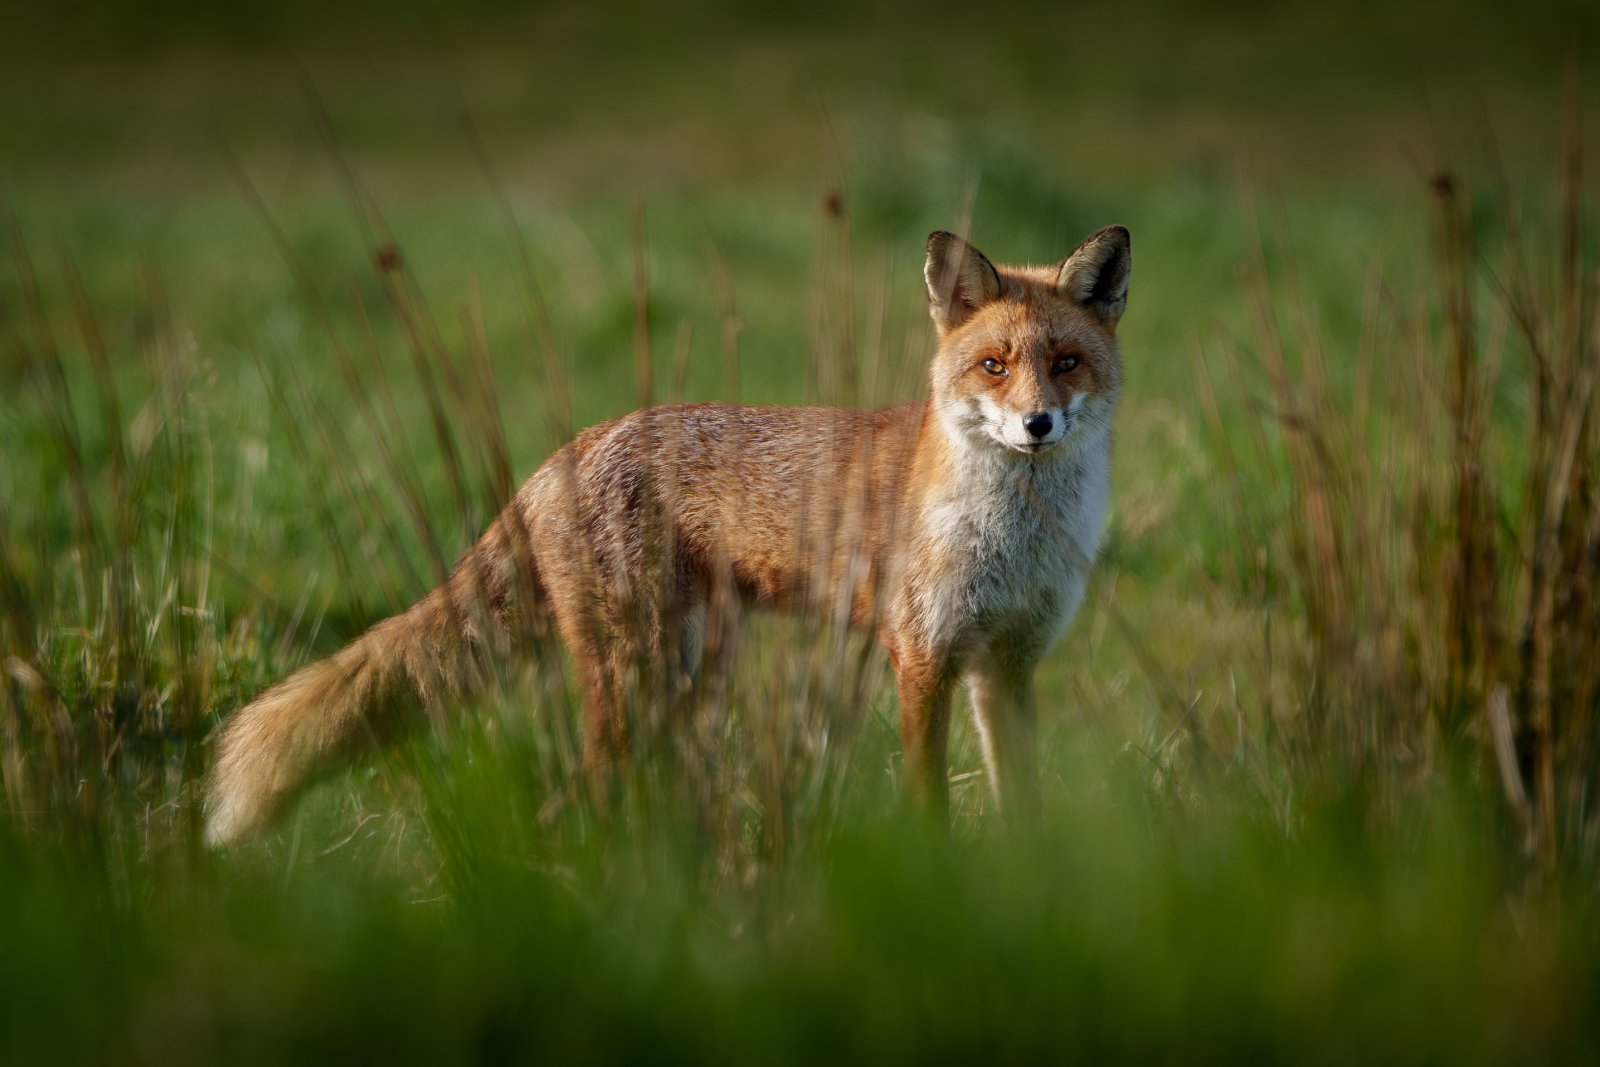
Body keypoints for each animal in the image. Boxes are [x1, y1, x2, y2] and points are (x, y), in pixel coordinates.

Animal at [204, 224, 1131, 845]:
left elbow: (1023, 802)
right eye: (994, 367)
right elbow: (927, 798)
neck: (1015, 538)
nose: (1038, 424)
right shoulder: (923, 651)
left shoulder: (1007, 663)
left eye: (1067, 363)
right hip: (638, 673)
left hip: (687, 672)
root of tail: (564, 451)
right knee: (587, 793)